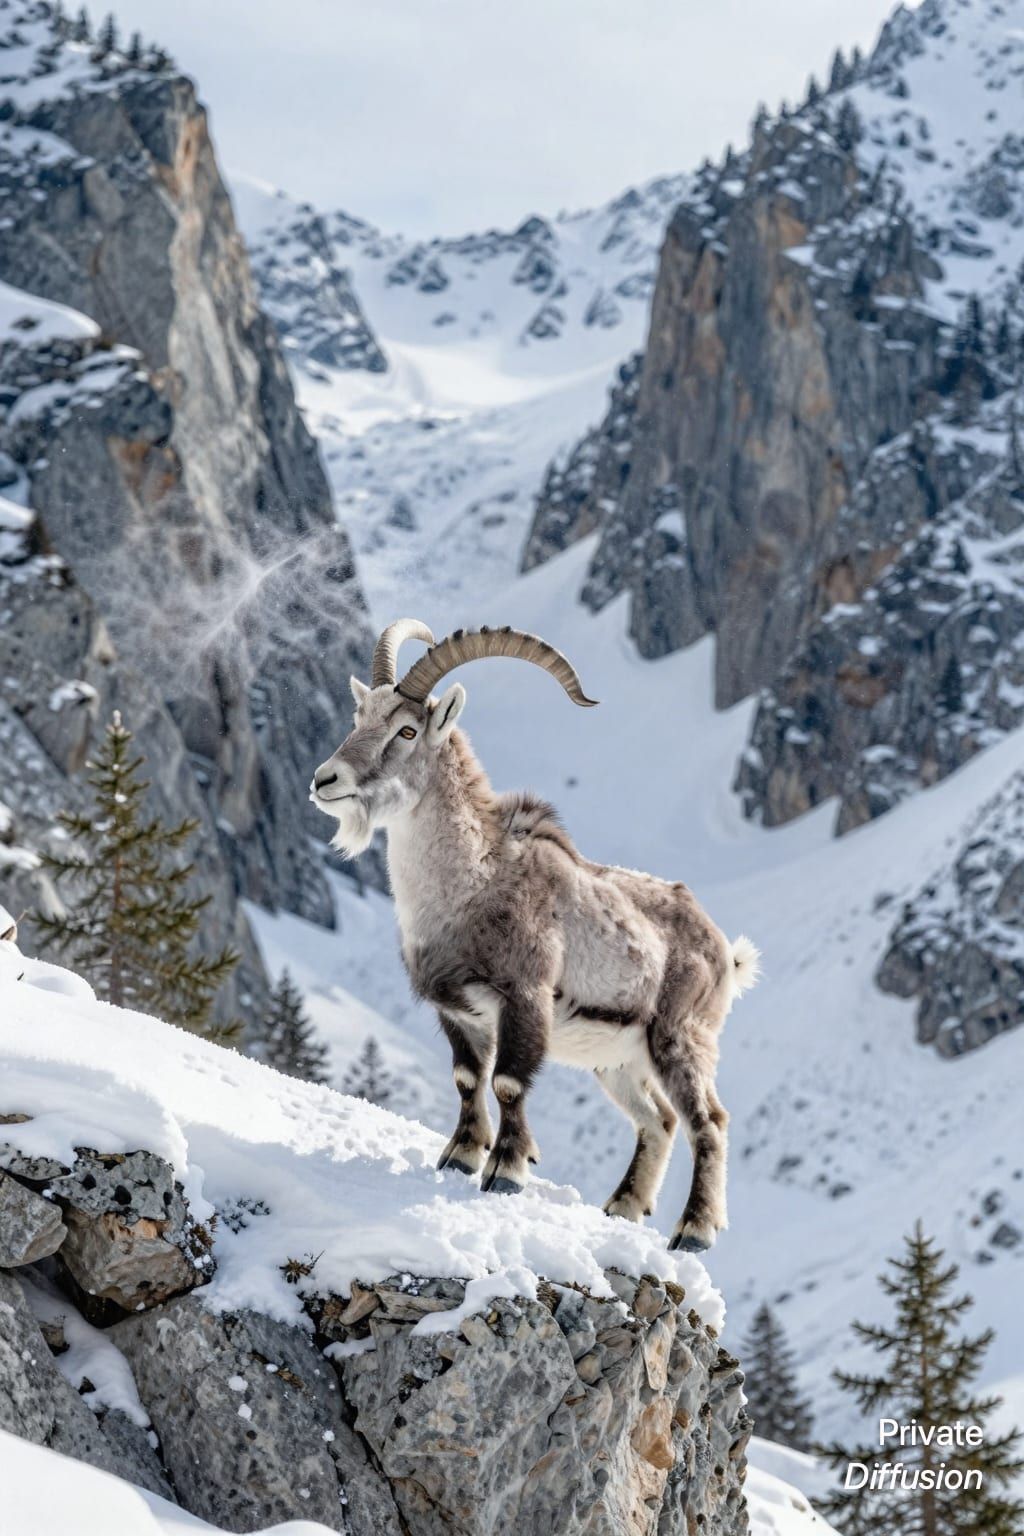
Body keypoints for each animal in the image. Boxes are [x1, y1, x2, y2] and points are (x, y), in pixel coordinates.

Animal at [311, 619, 759, 1252]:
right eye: (359, 718)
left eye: (406, 729)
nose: (325, 779)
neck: (471, 884)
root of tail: (724, 950)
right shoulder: (459, 1012)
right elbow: (467, 1078)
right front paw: (461, 1156)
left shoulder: (524, 999)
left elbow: (507, 1084)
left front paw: (506, 1171)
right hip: (617, 1062)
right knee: (660, 1119)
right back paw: (623, 1207)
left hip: (681, 1039)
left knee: (708, 1121)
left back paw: (694, 1229)